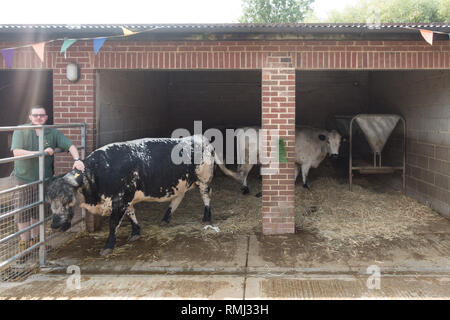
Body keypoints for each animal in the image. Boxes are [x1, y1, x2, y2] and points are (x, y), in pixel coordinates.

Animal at [47, 134, 218, 255]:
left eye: (67, 198)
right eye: (49, 200)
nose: (55, 225)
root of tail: (199, 137)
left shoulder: (119, 200)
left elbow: (113, 224)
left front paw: (108, 246)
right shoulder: (126, 200)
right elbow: (131, 214)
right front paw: (136, 231)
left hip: (204, 179)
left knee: (206, 197)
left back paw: (206, 217)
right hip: (180, 183)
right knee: (177, 199)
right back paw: (165, 218)